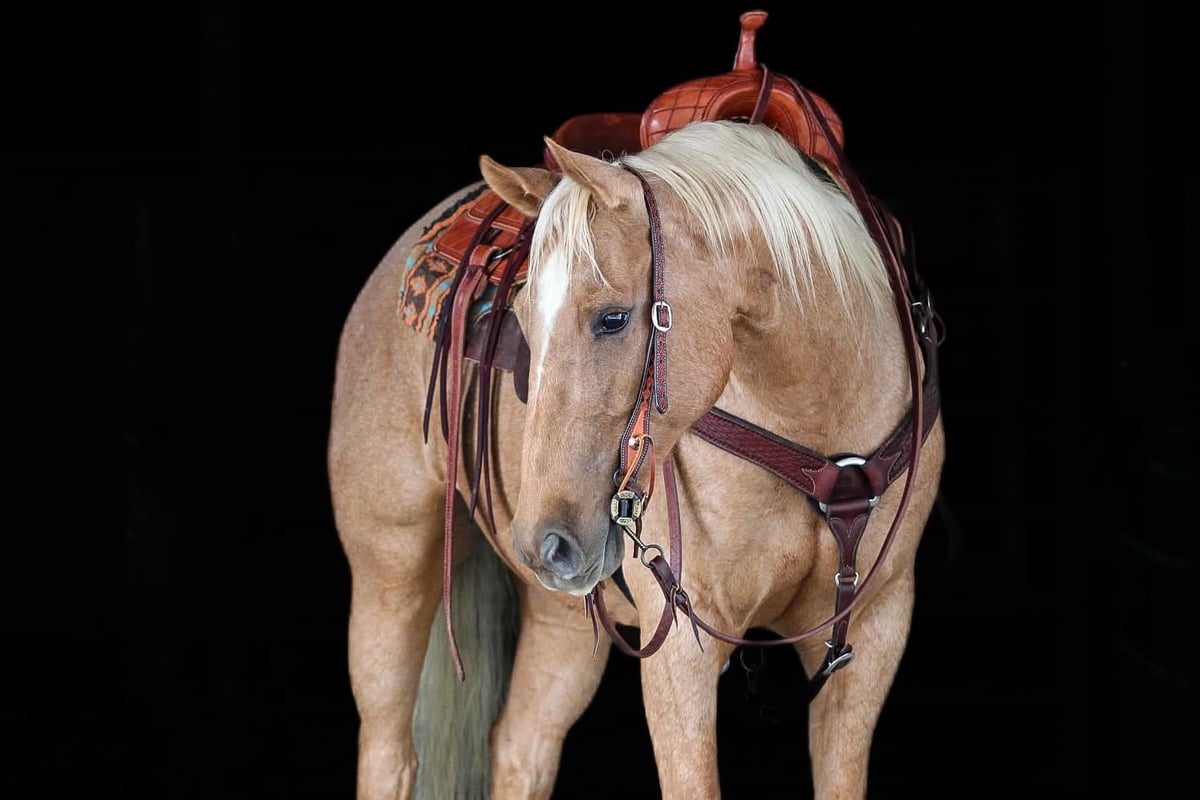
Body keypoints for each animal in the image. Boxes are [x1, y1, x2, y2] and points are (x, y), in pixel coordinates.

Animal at [327, 62, 945, 799]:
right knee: (390, 751)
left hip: (561, 614)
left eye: (614, 319)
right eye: (523, 322)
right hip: (390, 572)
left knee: (520, 745)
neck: (823, 426)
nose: (548, 543)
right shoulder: (680, 646)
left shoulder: (873, 638)